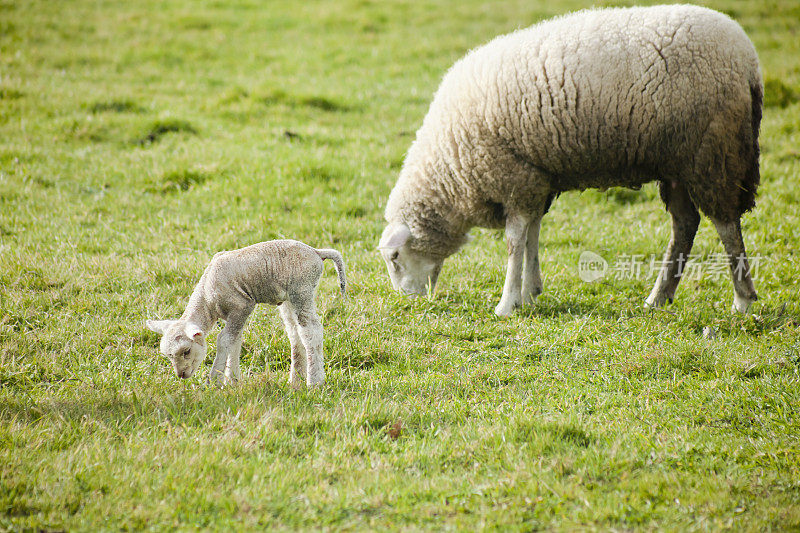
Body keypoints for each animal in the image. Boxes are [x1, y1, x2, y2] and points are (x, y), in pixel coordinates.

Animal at [145, 240, 346, 386]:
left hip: (302, 290)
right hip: (289, 298)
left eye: (186, 351)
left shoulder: (242, 306)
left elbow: (224, 340)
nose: (181, 375)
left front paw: (215, 380)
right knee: (294, 333)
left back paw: (315, 382)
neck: (208, 299)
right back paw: (296, 380)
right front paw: (233, 380)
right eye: (168, 355)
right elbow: (235, 340)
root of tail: (316, 252)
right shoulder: (236, 315)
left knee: (311, 331)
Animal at [380, 4, 764, 316]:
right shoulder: (535, 178)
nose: (406, 300)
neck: (451, 166)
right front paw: (530, 292)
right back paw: (658, 297)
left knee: (726, 225)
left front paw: (507, 303)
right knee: (685, 225)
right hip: (677, 164)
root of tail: (749, 61)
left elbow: (514, 242)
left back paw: (743, 299)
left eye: (395, 258)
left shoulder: (515, 176)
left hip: (711, 153)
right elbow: (532, 235)